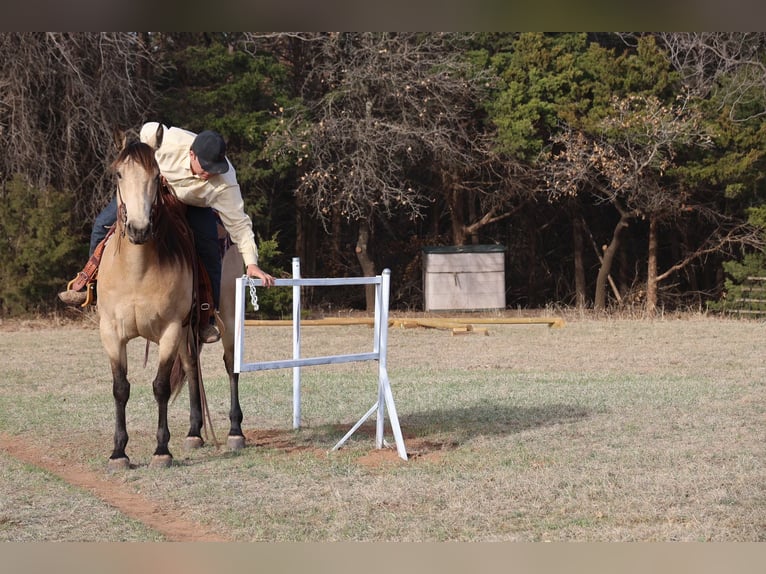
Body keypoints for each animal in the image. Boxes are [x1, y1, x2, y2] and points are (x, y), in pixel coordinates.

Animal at [97, 136, 246, 470]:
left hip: (228, 319)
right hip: (188, 332)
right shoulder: (111, 333)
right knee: (191, 367)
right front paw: (118, 452)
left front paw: (161, 450)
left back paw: (235, 432)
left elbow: (160, 386)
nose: (139, 229)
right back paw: (194, 432)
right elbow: (120, 388)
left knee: (231, 365)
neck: (136, 270)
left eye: (156, 177)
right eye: (119, 174)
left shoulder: (169, 331)